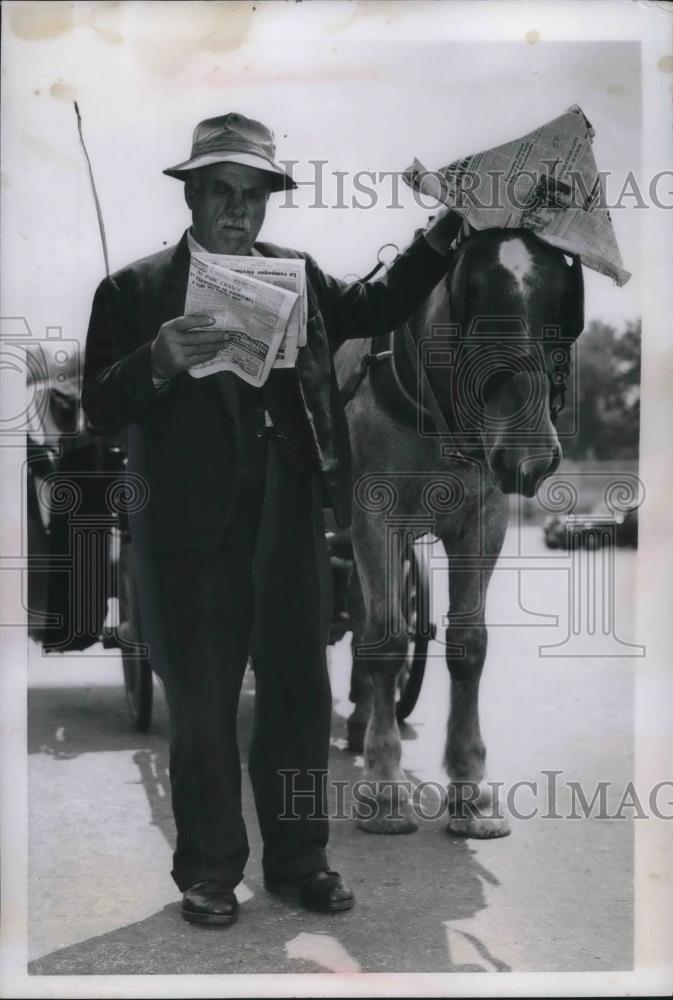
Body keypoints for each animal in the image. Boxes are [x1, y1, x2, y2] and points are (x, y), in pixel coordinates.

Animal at [334, 229, 584, 836]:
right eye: (475, 298)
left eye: (560, 306)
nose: (529, 459)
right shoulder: (373, 518)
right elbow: (388, 640)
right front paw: (385, 788)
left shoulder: (483, 521)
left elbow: (469, 644)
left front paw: (471, 788)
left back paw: (359, 717)